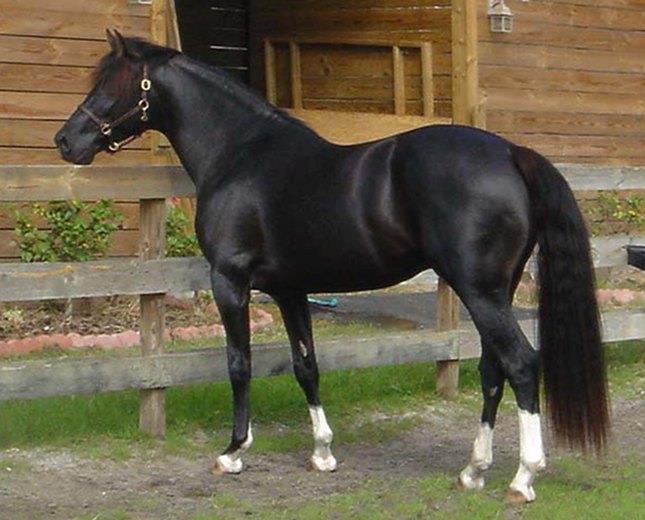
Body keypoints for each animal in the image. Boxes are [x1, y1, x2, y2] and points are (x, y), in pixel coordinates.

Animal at [55, 30, 608, 503]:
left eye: (111, 84)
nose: (66, 140)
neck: (240, 154)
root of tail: (512, 153)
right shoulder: (290, 290)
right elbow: (307, 365)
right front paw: (322, 452)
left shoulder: (230, 281)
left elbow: (239, 363)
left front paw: (233, 452)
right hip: (495, 290)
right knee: (493, 369)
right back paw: (473, 471)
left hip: (479, 292)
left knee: (521, 364)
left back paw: (522, 479)